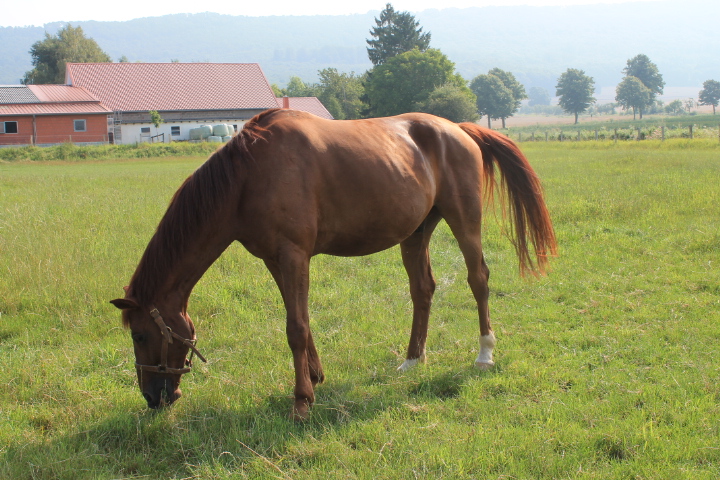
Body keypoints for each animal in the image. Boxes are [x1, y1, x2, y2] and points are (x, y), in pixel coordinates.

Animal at [110, 108, 556, 420]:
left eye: (140, 335)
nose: (152, 398)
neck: (248, 176)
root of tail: (460, 129)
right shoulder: (277, 260)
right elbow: (302, 321)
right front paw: (315, 378)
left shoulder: (292, 255)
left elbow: (294, 328)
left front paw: (302, 401)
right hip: (415, 232)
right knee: (423, 290)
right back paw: (412, 359)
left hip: (464, 220)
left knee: (478, 279)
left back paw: (484, 354)